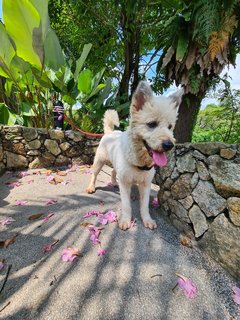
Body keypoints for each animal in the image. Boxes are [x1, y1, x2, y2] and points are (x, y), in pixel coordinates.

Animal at [86, 80, 184, 230]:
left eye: (170, 126)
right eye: (152, 124)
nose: (169, 145)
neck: (140, 161)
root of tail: (109, 132)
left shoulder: (145, 185)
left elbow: (144, 206)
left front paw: (147, 220)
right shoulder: (125, 183)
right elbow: (126, 205)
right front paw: (126, 220)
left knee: (113, 172)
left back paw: (114, 182)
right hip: (99, 161)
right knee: (94, 174)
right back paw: (91, 187)